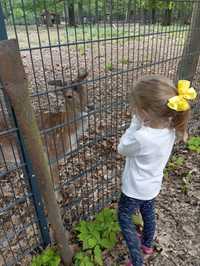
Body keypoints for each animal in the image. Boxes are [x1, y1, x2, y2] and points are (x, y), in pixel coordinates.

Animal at [0, 70, 88, 202]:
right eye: (69, 96)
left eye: (85, 89)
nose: (89, 107)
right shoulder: (51, 155)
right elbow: (55, 181)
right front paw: (59, 198)